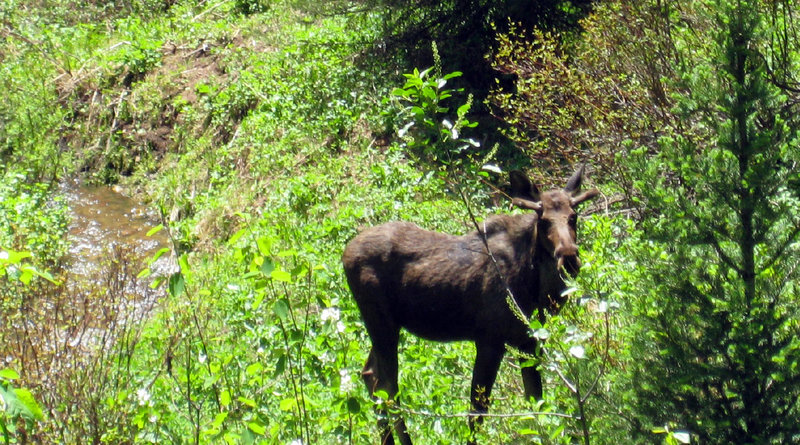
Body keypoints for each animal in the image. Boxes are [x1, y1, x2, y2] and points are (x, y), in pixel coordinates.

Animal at [340, 167, 596, 444]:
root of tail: (345, 254)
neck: (535, 290)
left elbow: (537, 406)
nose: (569, 258)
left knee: (370, 375)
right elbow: (477, 412)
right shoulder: (489, 340)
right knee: (388, 386)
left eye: (573, 217)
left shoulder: (529, 343)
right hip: (380, 321)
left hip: (386, 325)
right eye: (544, 220)